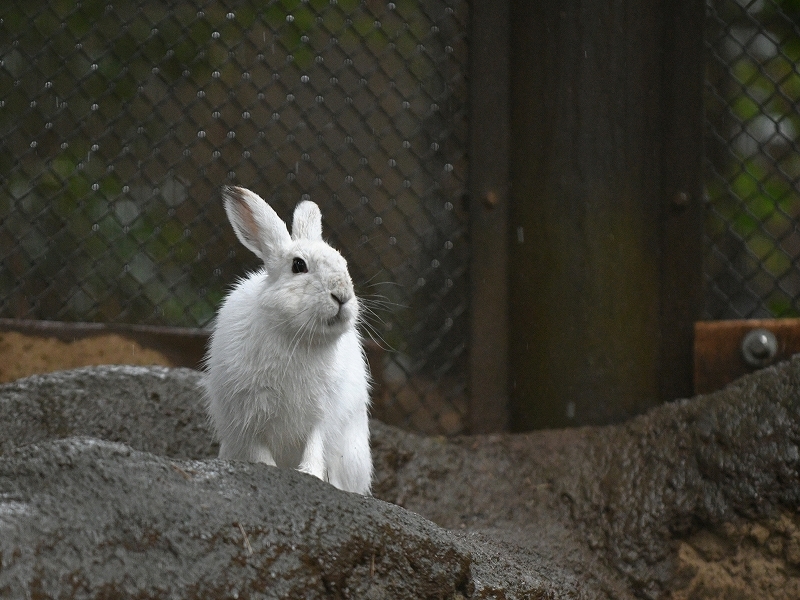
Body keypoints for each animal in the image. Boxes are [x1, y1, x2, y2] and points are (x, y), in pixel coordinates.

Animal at [203, 185, 372, 494]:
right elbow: (260, 451)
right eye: (298, 265)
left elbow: (315, 446)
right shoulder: (247, 417)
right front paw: (270, 471)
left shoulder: (322, 415)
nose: (342, 296)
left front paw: (311, 475)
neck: (297, 338)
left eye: (343, 264)